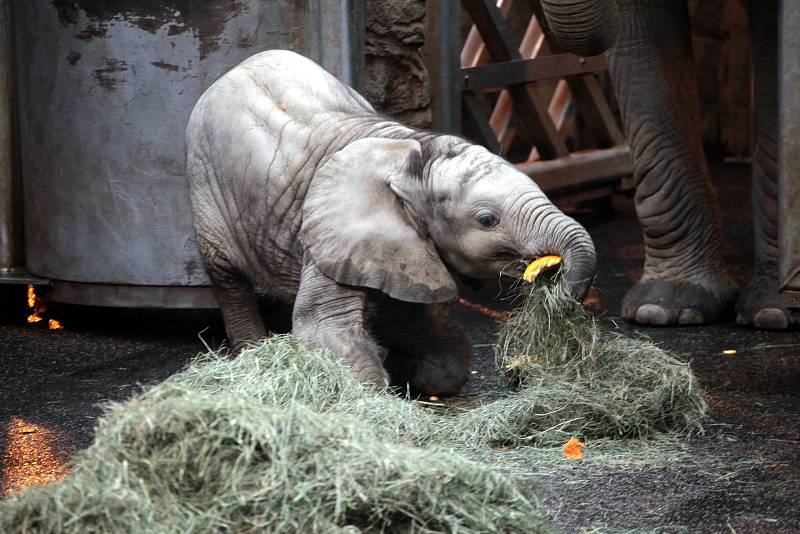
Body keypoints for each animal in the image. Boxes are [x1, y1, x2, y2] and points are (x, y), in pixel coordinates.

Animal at [184, 51, 592, 398]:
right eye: (487, 220)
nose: (553, 282)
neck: (413, 152)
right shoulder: (331, 229)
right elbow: (325, 326)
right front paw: (377, 396)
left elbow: (406, 316)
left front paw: (419, 375)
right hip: (205, 185)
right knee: (228, 279)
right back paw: (252, 355)